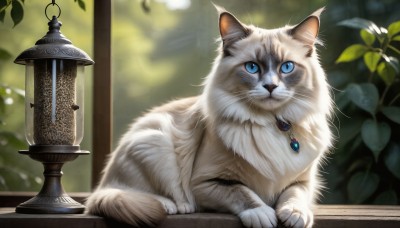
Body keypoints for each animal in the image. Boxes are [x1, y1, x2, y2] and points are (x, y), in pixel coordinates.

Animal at [86, 5, 332, 228]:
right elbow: (243, 192)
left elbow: (294, 196)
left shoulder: (303, 181)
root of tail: (103, 183)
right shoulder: (207, 182)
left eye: (287, 67)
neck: (271, 123)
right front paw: (262, 214)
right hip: (156, 141)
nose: (270, 86)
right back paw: (174, 206)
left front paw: (295, 215)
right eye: (252, 67)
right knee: (130, 193)